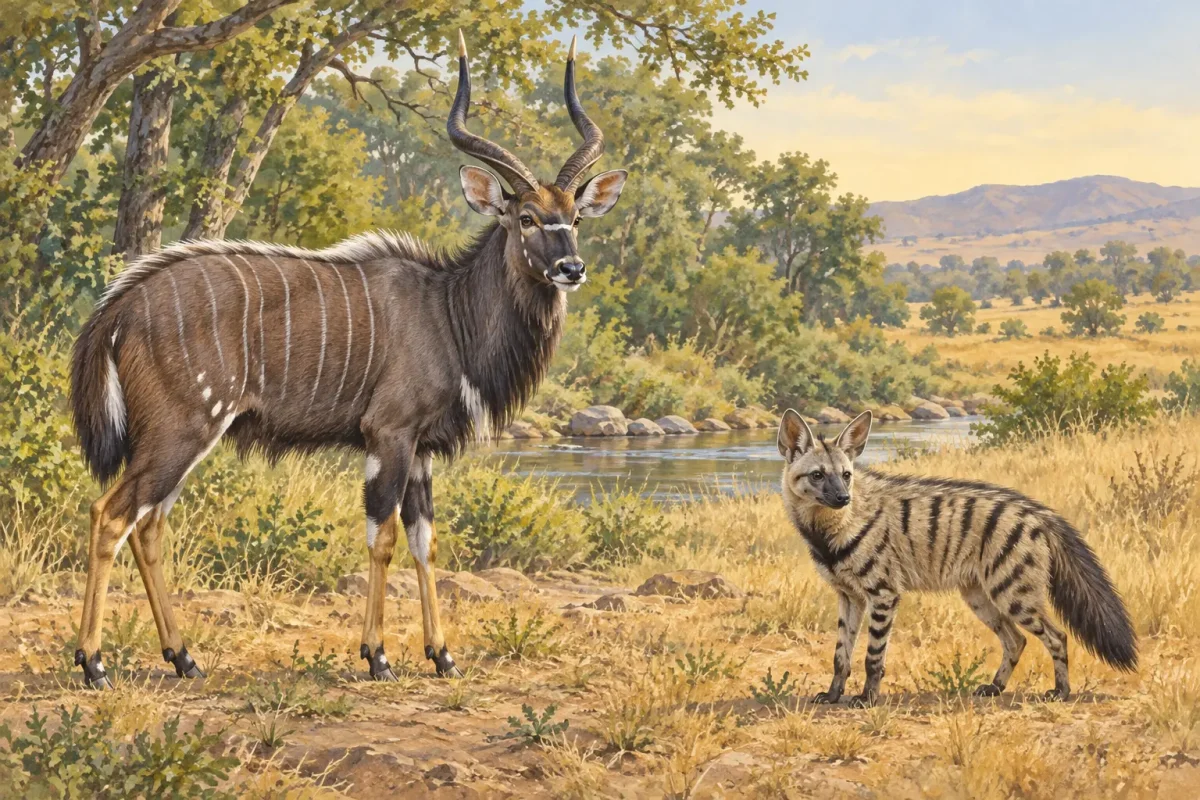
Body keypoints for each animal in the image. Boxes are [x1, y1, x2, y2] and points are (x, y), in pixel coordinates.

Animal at [68, 32, 627, 688]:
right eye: (526, 217)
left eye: (577, 216)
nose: (571, 267)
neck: (447, 312)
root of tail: (117, 306)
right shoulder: (388, 434)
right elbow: (381, 537)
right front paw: (378, 655)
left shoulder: (420, 450)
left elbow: (424, 539)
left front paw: (443, 656)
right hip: (181, 429)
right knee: (111, 514)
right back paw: (94, 664)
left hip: (178, 439)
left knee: (149, 524)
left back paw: (184, 659)